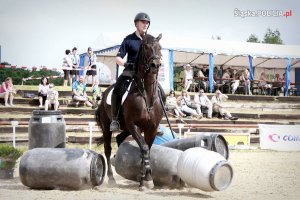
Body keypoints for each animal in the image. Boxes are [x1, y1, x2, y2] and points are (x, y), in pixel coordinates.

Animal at [95, 33, 164, 190]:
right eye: (146, 47)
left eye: (160, 48)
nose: (155, 65)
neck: (146, 93)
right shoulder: (134, 125)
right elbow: (144, 148)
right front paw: (146, 180)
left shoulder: (152, 128)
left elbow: (147, 149)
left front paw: (144, 177)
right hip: (107, 126)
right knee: (107, 149)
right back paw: (111, 178)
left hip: (125, 128)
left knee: (120, 139)